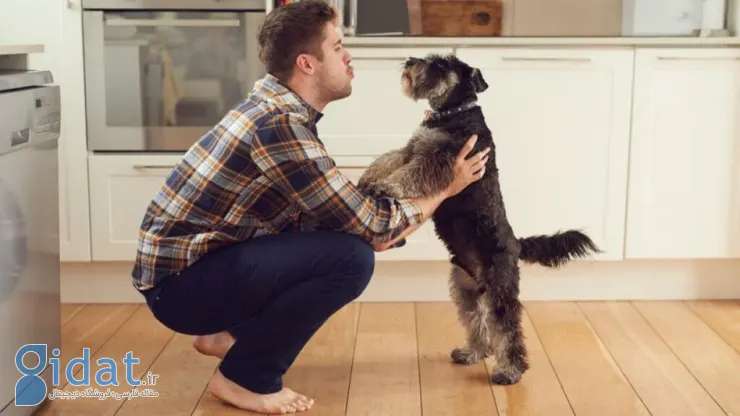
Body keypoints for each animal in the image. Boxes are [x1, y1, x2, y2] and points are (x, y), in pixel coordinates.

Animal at [356, 53, 604, 386]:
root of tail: (515, 244)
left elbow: (409, 175)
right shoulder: (414, 148)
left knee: (508, 329)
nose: (409, 60)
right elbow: (389, 158)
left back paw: (509, 370)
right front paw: (368, 179)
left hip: (500, 289)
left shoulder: (439, 160)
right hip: (465, 289)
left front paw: (385, 186)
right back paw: (472, 353)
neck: (452, 112)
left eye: (441, 64)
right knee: (478, 324)